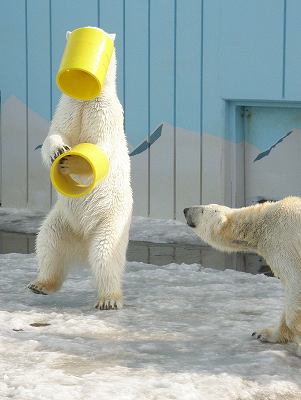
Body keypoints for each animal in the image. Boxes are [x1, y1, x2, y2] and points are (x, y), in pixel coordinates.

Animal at [28, 31, 132, 310]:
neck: (87, 97)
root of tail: (83, 242)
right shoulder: (69, 105)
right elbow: (55, 133)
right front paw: (59, 152)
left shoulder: (105, 111)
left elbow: (102, 148)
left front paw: (71, 162)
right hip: (63, 221)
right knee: (47, 242)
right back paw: (40, 284)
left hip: (111, 219)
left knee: (105, 254)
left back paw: (109, 299)